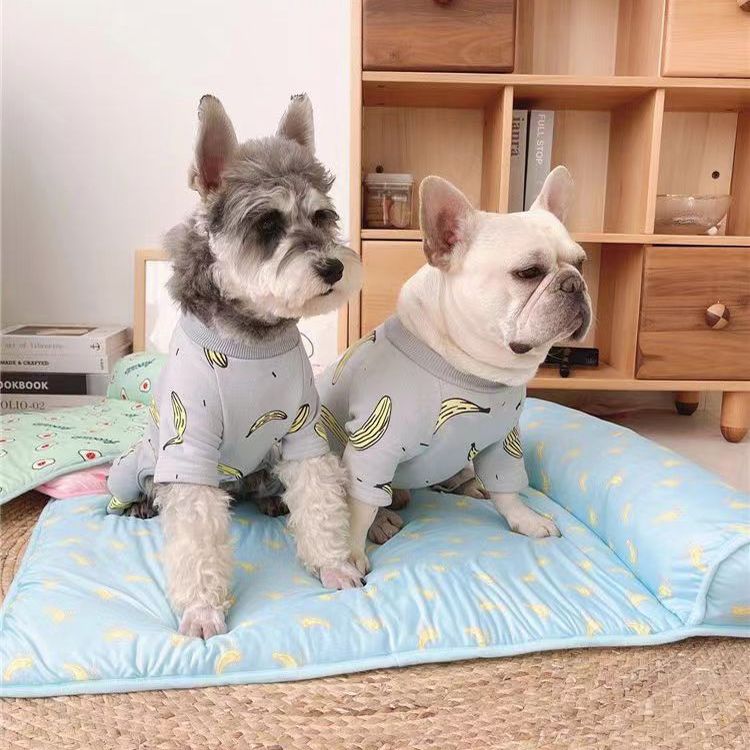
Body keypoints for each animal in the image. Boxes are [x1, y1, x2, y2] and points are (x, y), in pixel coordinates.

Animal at [107, 93, 363, 638]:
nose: (334, 267)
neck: (253, 339)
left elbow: (319, 502)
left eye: (323, 216)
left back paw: (270, 499)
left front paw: (335, 565)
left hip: (269, 457)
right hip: (136, 465)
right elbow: (196, 539)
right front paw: (203, 611)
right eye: (267, 224)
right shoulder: (189, 450)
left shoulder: (303, 436)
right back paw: (141, 504)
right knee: (133, 489)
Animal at [317, 166, 592, 573]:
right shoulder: (373, 448)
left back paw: (466, 483)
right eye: (528, 272)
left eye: (582, 261)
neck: (475, 373)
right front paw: (349, 554)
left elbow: (508, 488)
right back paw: (384, 520)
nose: (575, 282)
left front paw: (524, 519)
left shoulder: (502, 442)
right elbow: (360, 506)